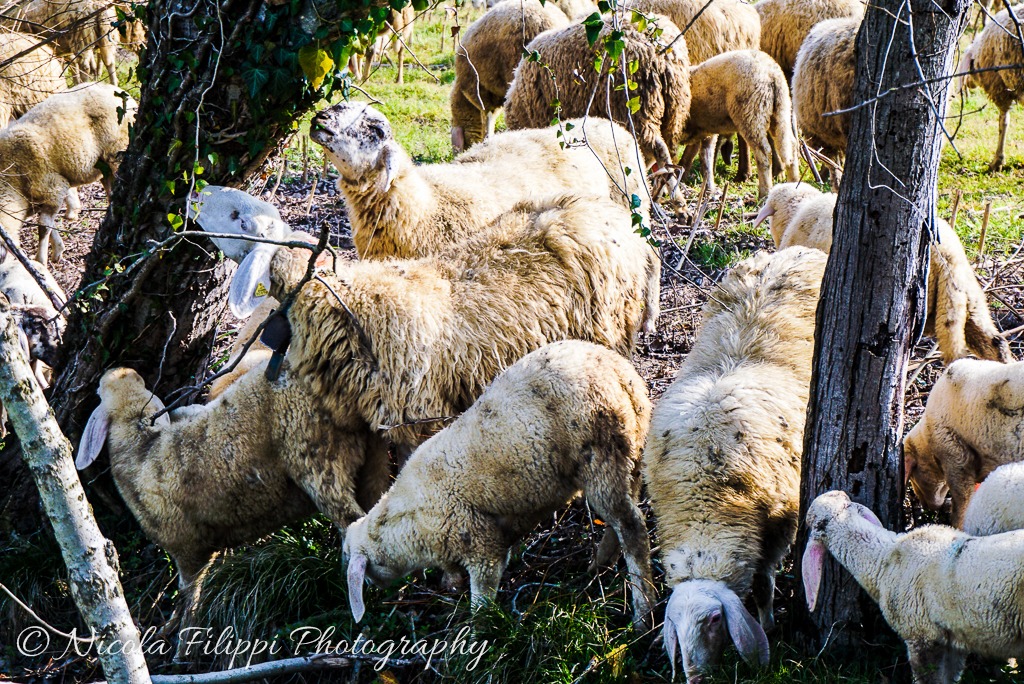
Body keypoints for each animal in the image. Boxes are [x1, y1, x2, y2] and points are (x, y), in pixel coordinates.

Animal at [0, 82, 136, 265]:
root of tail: (120, 91)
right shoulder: (42, 199)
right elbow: (49, 224)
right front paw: (58, 249)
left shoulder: (54, 187)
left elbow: (43, 226)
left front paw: (41, 260)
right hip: (104, 165)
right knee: (110, 190)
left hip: (117, 151)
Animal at [75, 361, 394, 655]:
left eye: (102, 392)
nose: (118, 369)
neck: (141, 451)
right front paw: (173, 627)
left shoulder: (187, 550)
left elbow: (189, 592)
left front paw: (184, 644)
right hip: (372, 458)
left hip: (317, 458)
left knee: (350, 520)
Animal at [344, 340, 655, 630]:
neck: (407, 522)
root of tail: (620, 373)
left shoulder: (479, 542)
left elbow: (483, 597)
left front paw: (478, 632)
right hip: (631, 455)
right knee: (622, 518)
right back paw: (599, 567)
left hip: (601, 458)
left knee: (632, 529)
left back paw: (643, 612)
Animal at [644, 247, 827, 682]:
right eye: (674, 626)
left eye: (714, 620)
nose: (695, 677)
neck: (704, 499)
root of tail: (796, 250)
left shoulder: (777, 525)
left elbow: (761, 585)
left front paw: (769, 625)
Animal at [675, 49, 800, 199]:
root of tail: (772, 73)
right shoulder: (705, 131)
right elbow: (703, 157)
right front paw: (706, 188)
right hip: (781, 111)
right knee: (790, 146)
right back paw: (794, 184)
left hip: (751, 113)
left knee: (763, 152)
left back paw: (764, 193)